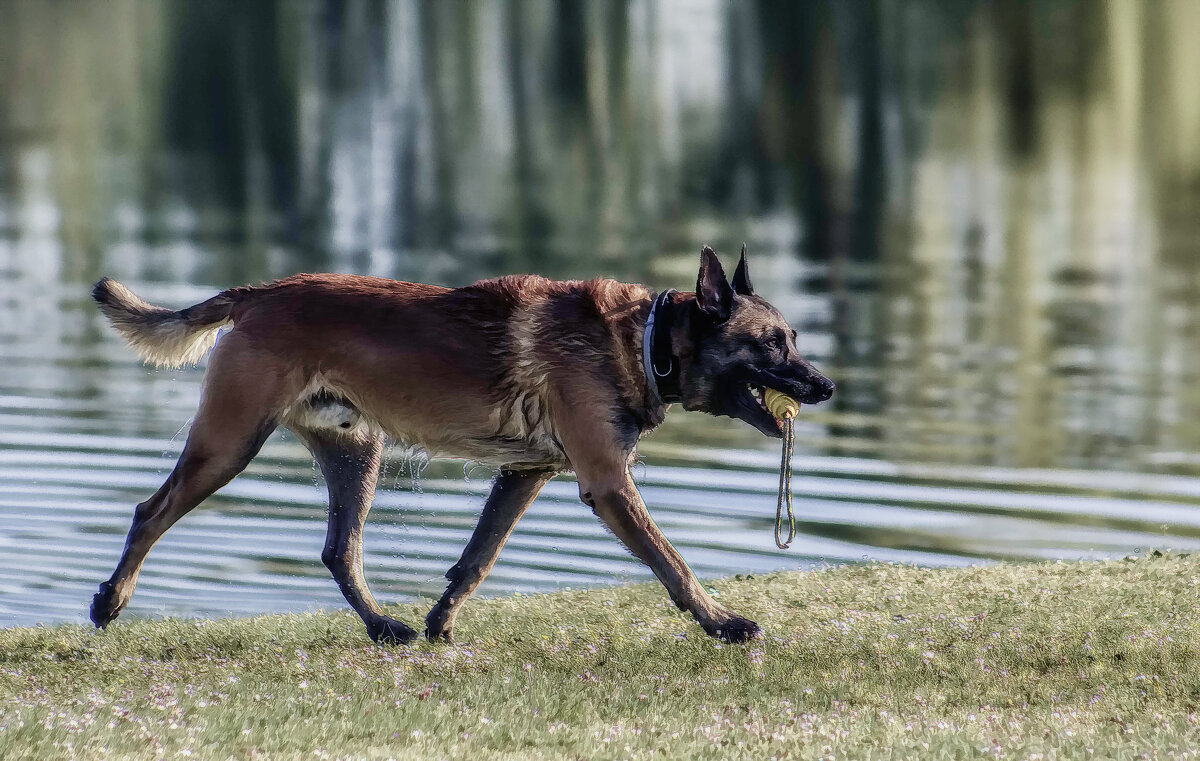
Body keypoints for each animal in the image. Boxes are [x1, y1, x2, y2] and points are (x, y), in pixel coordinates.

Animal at [88, 247, 835, 638]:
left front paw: (440, 621)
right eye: (772, 344)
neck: (646, 341)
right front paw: (721, 621)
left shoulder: (525, 473)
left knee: (339, 550)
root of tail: (262, 290)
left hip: (357, 453)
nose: (825, 386)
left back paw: (384, 626)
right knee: (149, 512)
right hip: (229, 443)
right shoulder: (608, 483)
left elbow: (476, 559)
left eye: (792, 338)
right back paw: (109, 602)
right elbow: (672, 563)